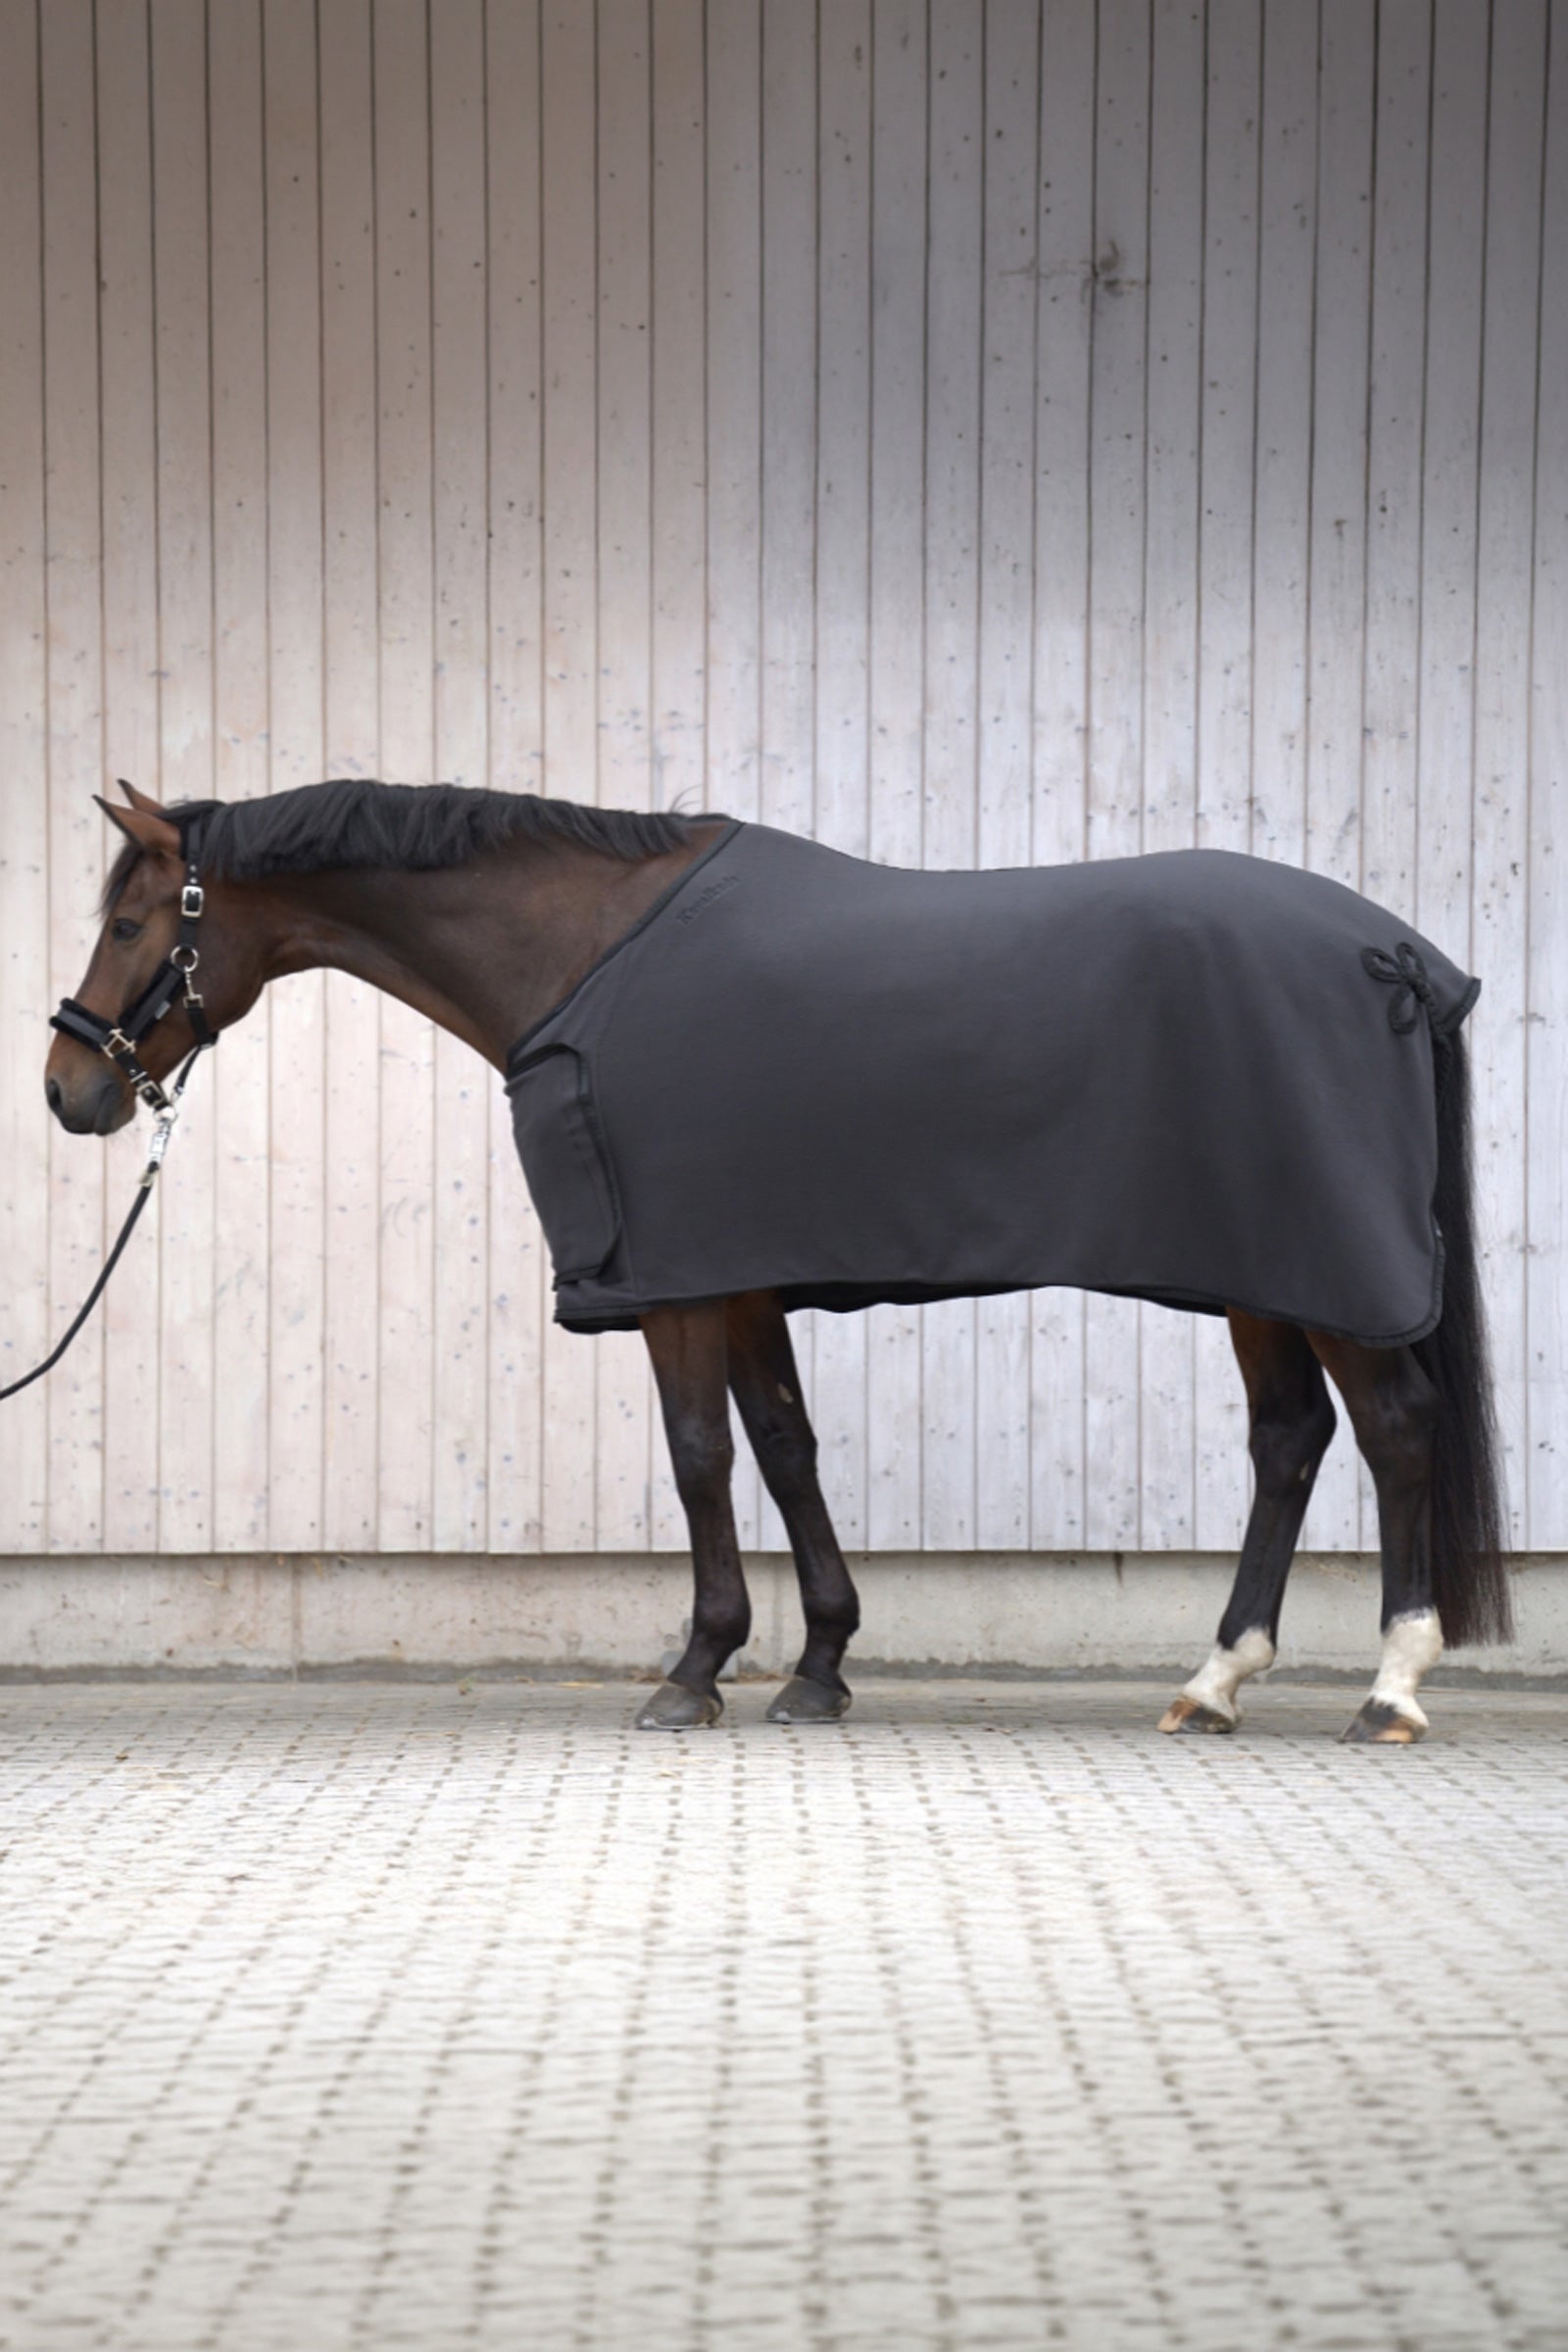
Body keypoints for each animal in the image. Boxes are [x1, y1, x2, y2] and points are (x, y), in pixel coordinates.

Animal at [43, 778, 1511, 1741]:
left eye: (127, 925)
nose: (70, 1091)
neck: (587, 952)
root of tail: (1397, 955)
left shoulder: (675, 1284)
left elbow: (702, 1453)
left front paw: (695, 1670)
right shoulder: (740, 1274)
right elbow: (788, 1447)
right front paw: (818, 1668)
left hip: (1329, 1276)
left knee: (1393, 1427)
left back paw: (1390, 1686)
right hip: (1267, 1277)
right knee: (1289, 1441)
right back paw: (1213, 1682)